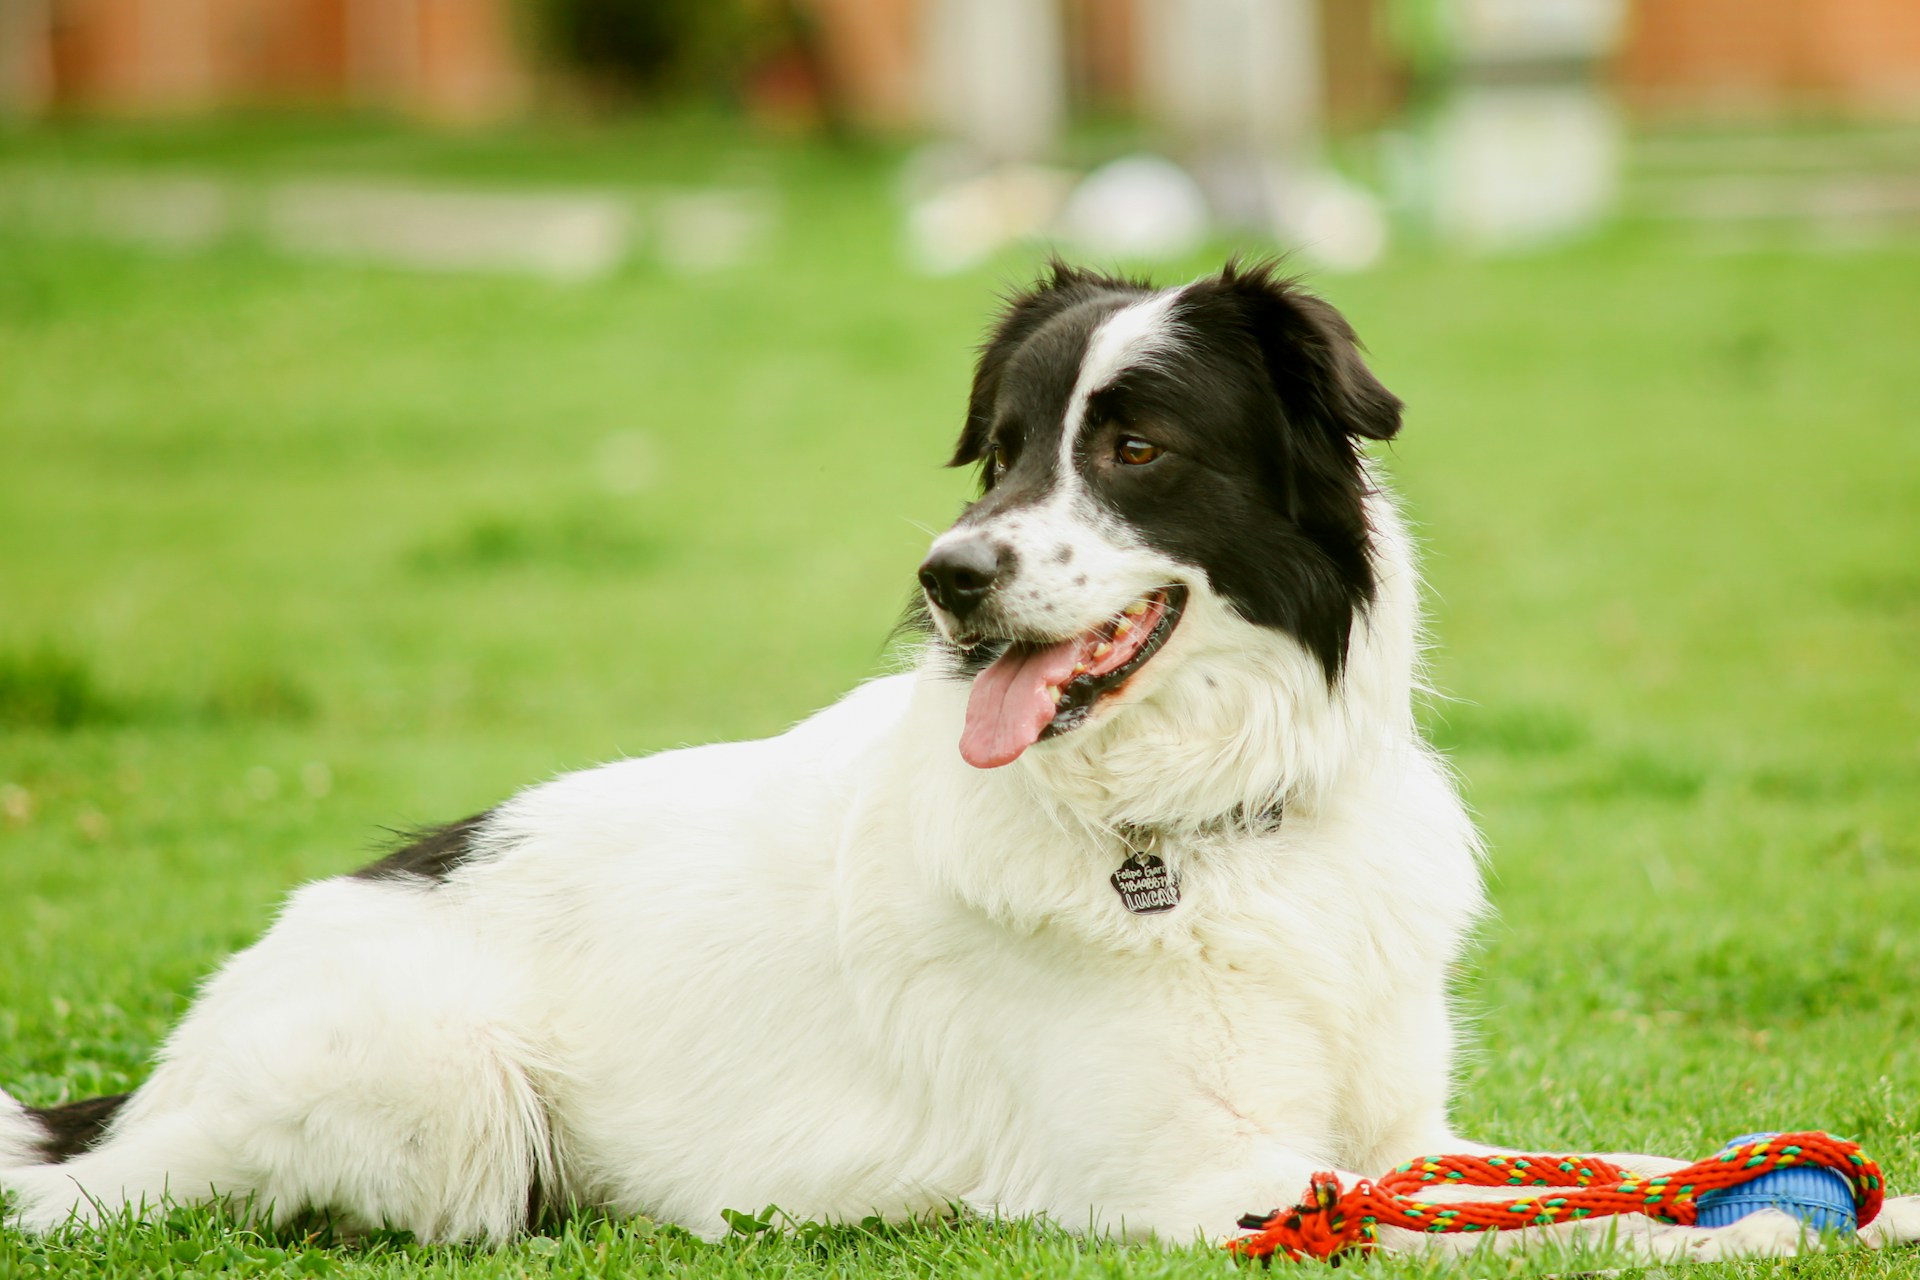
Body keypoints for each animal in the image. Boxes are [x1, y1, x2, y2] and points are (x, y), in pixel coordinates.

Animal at [3, 260, 1920, 1258]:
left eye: (1137, 447)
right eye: (997, 455)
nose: (949, 578)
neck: (1202, 824)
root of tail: (156, 1093)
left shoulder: (1404, 1130)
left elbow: (1609, 1183)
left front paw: (1845, 1204)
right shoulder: (1215, 1192)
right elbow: (1570, 1229)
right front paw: (1769, 1229)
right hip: (447, 1103)